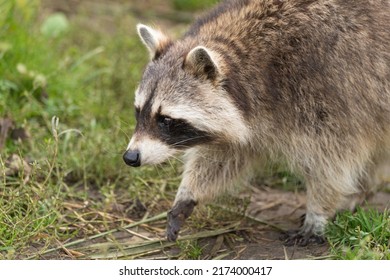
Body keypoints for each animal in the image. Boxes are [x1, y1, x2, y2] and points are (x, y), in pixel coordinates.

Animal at [123, 0, 390, 245]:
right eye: (138, 112)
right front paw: (188, 194)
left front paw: (318, 212)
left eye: (165, 120)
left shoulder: (324, 90)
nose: (130, 157)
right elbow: (224, 156)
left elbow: (332, 161)